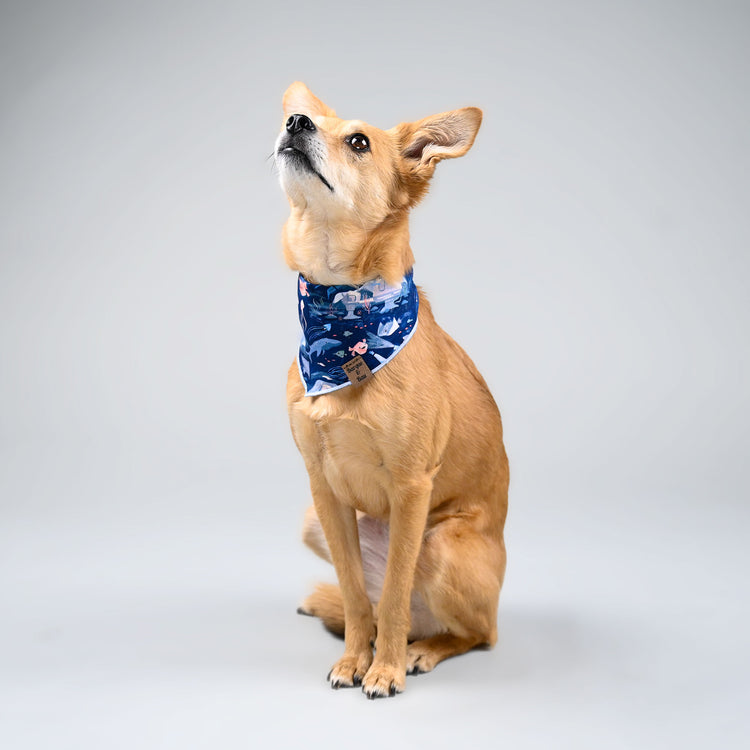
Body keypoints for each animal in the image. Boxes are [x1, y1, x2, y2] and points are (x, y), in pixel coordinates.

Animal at [276, 82, 512, 700]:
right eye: (302, 119)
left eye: (358, 141)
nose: (295, 121)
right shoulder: (324, 490)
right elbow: (361, 597)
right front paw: (355, 659)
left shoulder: (411, 488)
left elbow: (394, 594)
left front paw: (382, 670)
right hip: (313, 521)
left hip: (443, 543)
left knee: (475, 633)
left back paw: (420, 651)